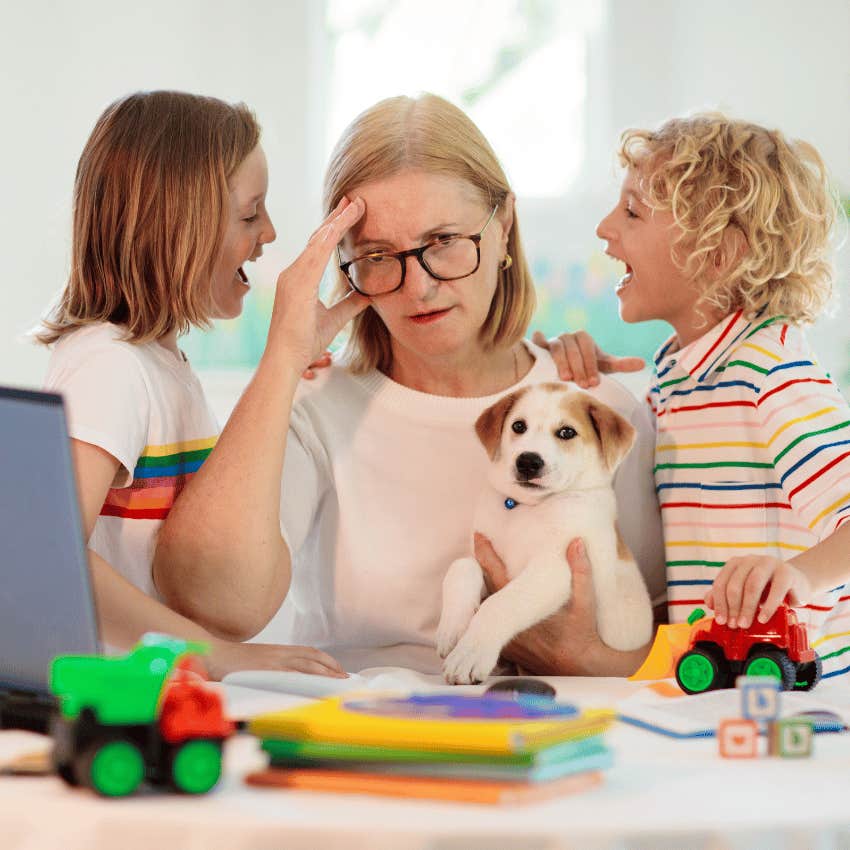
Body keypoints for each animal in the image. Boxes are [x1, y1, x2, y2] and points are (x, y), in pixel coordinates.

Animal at [434, 382, 652, 684]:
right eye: (518, 426)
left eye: (567, 432)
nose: (528, 461)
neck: (527, 508)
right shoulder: (482, 553)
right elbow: (461, 566)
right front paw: (452, 629)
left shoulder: (554, 569)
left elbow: (500, 603)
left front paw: (470, 653)